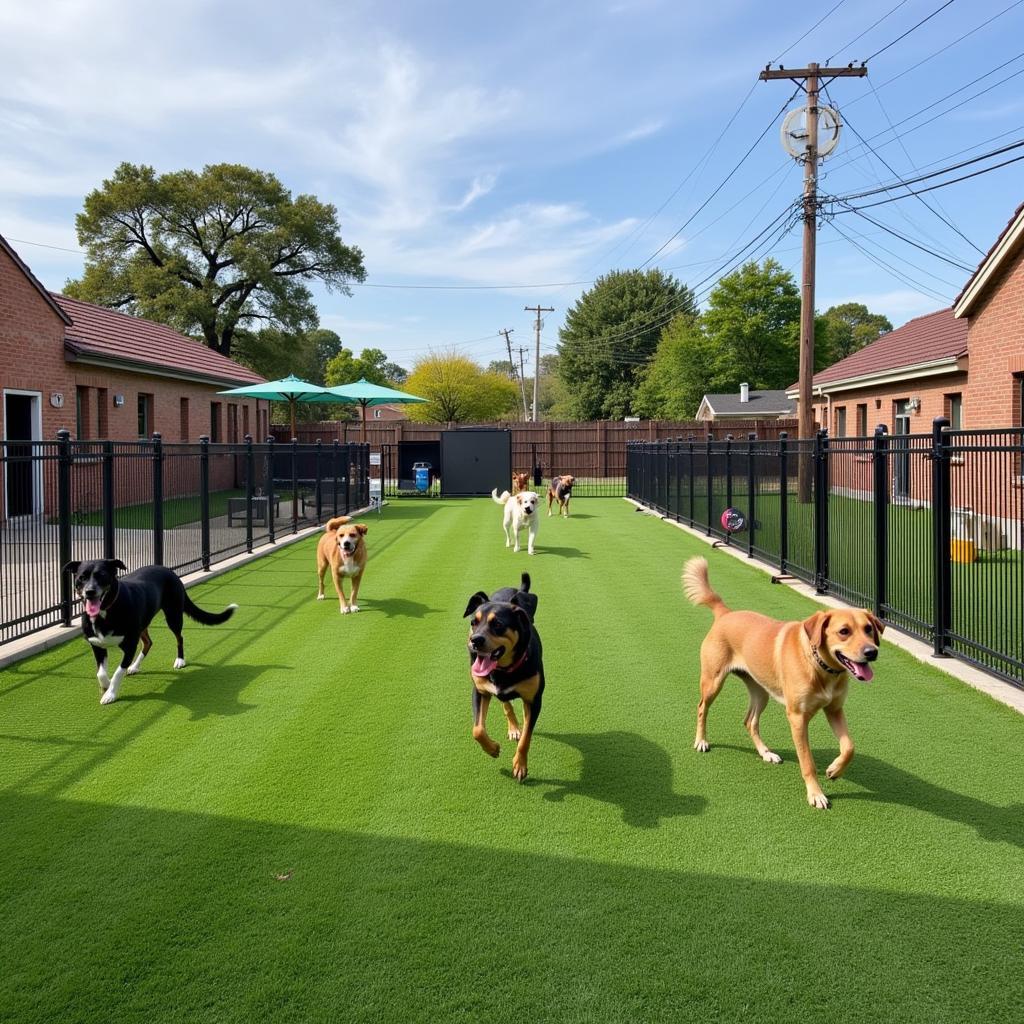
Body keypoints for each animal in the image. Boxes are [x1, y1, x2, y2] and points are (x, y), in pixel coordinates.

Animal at [64, 561, 237, 704]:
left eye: (102, 576)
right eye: (82, 577)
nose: (90, 591)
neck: (104, 613)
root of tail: (169, 571)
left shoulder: (129, 645)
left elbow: (119, 672)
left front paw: (110, 694)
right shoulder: (97, 646)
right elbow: (100, 673)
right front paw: (106, 685)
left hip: (173, 615)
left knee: (179, 637)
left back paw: (180, 660)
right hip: (144, 623)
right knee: (148, 642)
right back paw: (134, 667)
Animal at [464, 573, 544, 778]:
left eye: (498, 624)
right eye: (473, 622)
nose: (475, 641)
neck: (504, 669)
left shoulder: (534, 700)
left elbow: (526, 737)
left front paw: (520, 765)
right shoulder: (480, 691)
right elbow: (477, 729)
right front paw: (492, 749)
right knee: (506, 704)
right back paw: (513, 727)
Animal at [679, 561, 880, 806]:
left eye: (868, 629)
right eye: (844, 631)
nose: (872, 652)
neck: (818, 664)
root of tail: (725, 613)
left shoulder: (834, 709)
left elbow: (850, 746)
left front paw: (835, 770)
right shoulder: (797, 718)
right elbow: (808, 762)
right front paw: (816, 794)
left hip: (761, 691)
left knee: (750, 721)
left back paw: (766, 753)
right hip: (713, 681)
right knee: (702, 708)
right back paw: (701, 741)